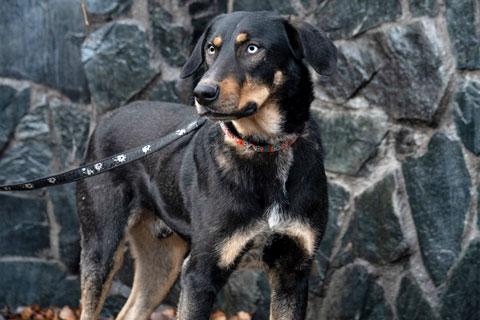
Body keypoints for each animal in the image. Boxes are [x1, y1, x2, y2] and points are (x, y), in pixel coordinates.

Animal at [76, 10, 338, 320]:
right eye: (211, 49)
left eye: (253, 48)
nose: (202, 93)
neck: (264, 147)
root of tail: (105, 119)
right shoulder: (200, 272)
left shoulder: (293, 272)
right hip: (102, 244)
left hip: (163, 257)